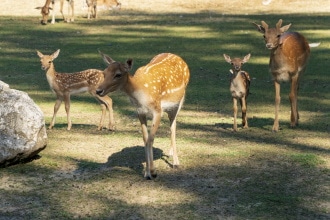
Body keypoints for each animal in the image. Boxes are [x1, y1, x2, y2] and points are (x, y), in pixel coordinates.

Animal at [95, 52, 189, 180]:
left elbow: (151, 139)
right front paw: (146, 173)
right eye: (104, 73)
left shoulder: (158, 110)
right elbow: (145, 138)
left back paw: (175, 163)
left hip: (179, 102)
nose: (98, 90)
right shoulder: (140, 112)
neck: (141, 96)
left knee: (173, 127)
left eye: (118, 74)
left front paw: (153, 172)